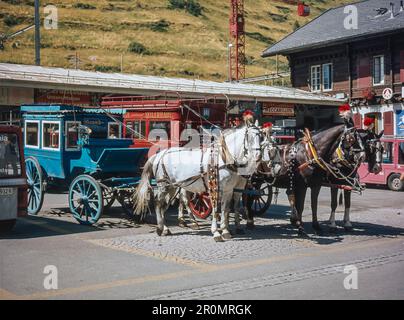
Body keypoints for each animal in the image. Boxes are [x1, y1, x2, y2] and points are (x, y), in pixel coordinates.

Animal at [134, 125, 264, 242]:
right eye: (250, 138)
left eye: (261, 138)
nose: (258, 156)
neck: (223, 158)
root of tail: (159, 154)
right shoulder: (215, 189)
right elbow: (215, 210)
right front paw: (216, 232)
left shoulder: (229, 190)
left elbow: (225, 210)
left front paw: (226, 231)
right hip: (163, 186)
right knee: (158, 203)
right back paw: (161, 227)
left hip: (172, 187)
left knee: (164, 205)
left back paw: (166, 228)